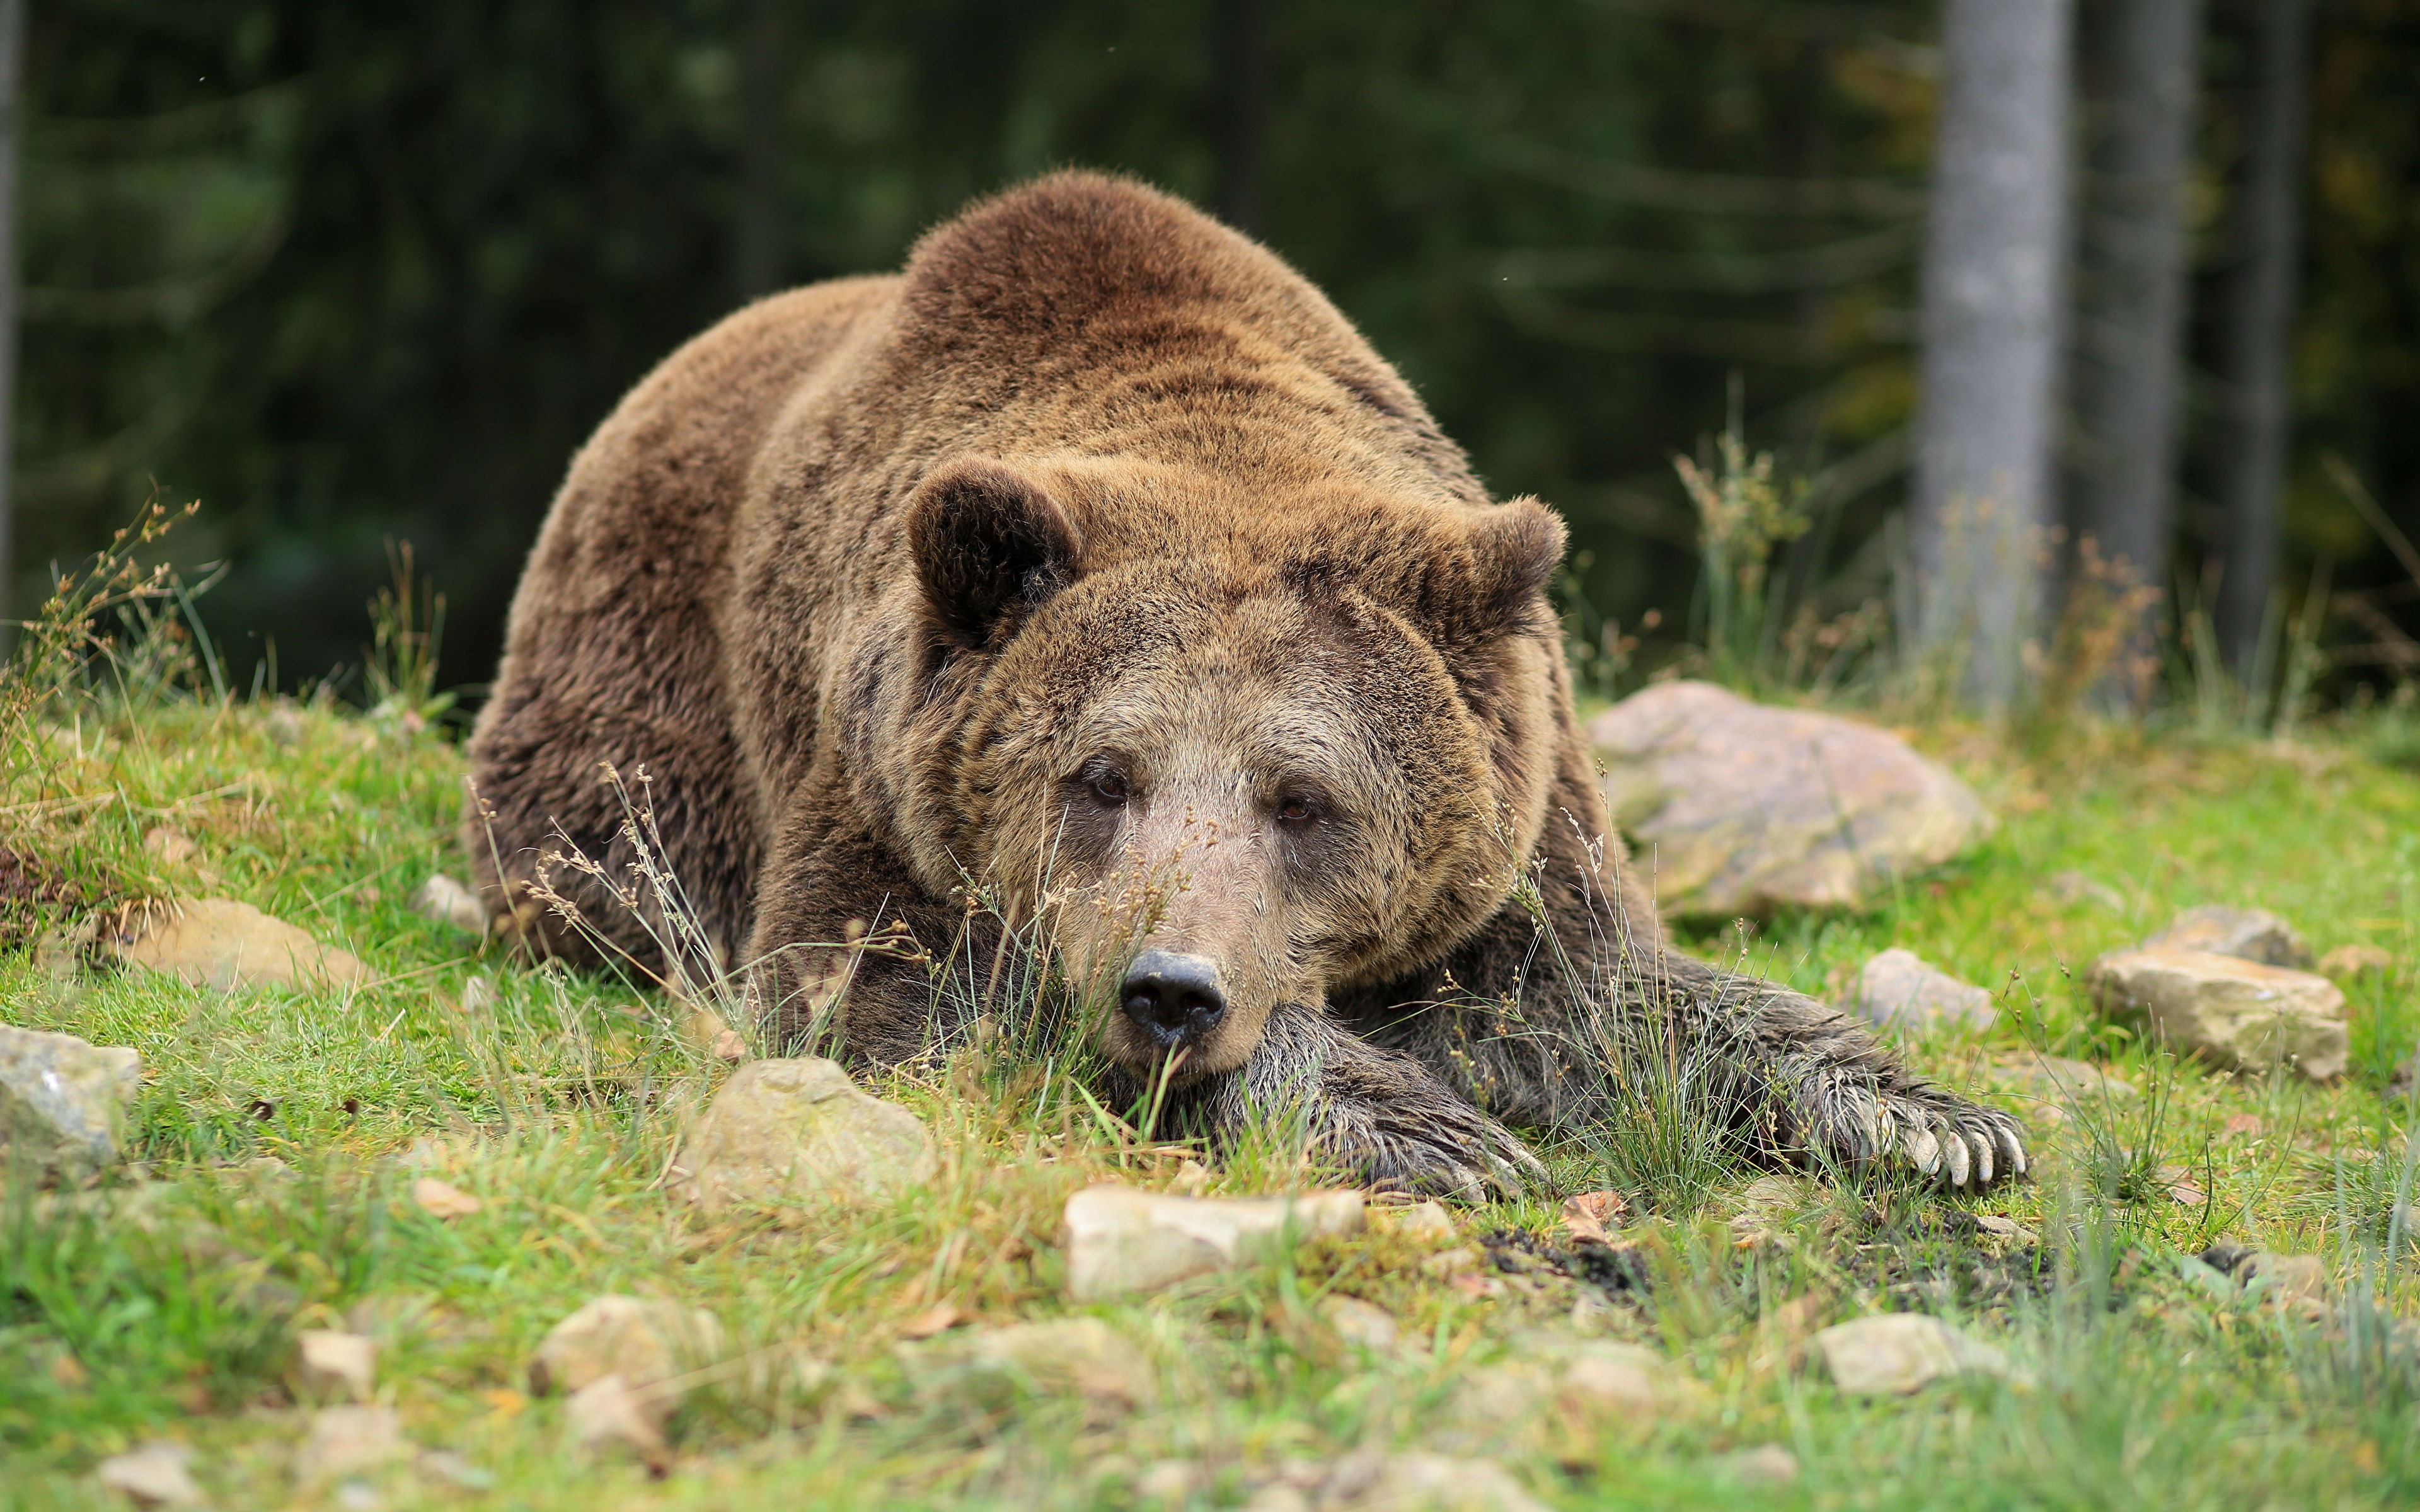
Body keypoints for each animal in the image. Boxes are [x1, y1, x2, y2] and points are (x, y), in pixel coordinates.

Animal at [467, 170, 2023, 1194]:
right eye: (1102, 777)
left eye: (1302, 797)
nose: (1174, 992)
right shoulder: (879, 798)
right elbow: (909, 994)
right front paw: (1431, 1134)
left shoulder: (1518, 826)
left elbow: (1608, 996)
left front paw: (1935, 1120)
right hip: (629, 707)